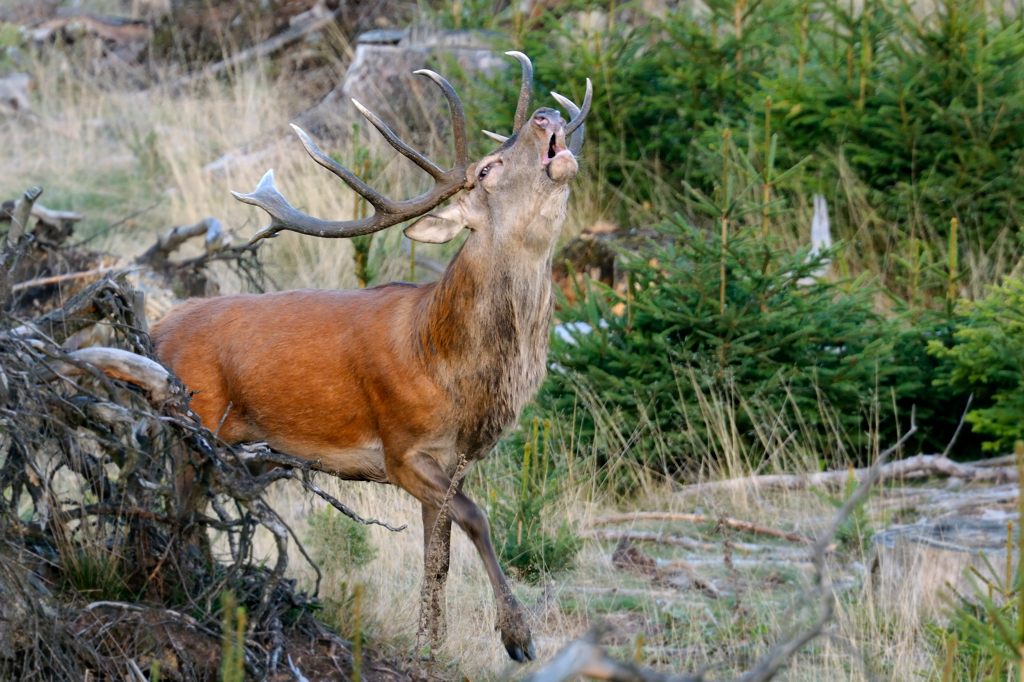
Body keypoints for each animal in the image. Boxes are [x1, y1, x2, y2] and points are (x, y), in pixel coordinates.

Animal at [151, 52, 591, 662]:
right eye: (486, 170)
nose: (547, 115)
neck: (451, 369)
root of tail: (153, 328)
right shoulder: (401, 448)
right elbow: (477, 519)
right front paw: (517, 636)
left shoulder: (452, 461)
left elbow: (438, 557)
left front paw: (429, 644)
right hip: (189, 428)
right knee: (178, 513)